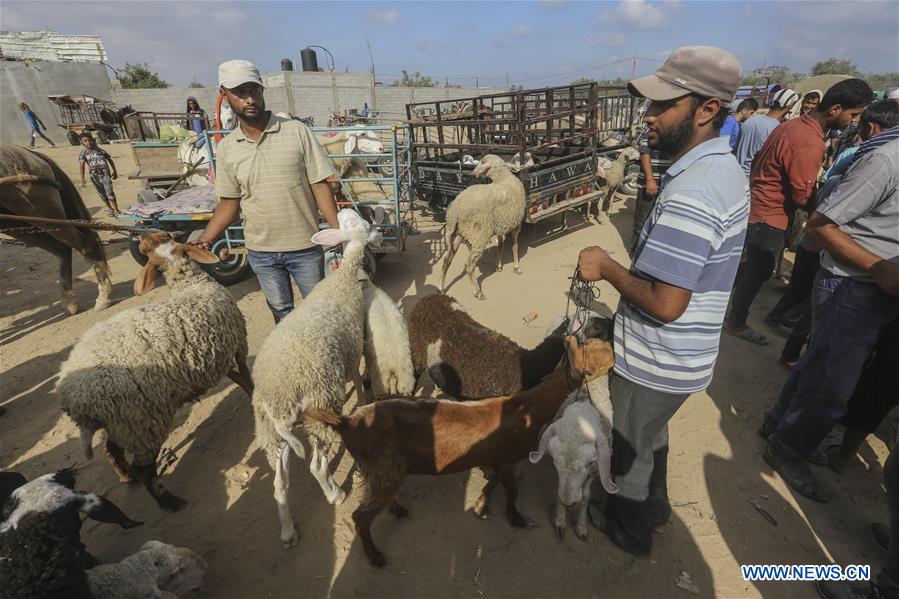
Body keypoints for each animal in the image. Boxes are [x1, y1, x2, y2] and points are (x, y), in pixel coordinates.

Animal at [56, 234, 253, 510]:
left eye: (162, 238)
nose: (139, 236)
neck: (192, 285)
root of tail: (74, 397)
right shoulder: (237, 346)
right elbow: (246, 380)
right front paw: (256, 397)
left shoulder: (220, 356)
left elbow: (238, 378)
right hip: (144, 422)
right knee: (144, 468)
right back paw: (169, 500)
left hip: (124, 421)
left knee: (112, 449)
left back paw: (126, 476)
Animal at [250, 209, 384, 552]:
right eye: (366, 226)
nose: (342, 210)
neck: (342, 277)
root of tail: (278, 399)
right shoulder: (354, 347)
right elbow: (358, 379)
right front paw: (363, 399)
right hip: (320, 406)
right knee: (316, 466)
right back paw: (335, 493)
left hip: (270, 433)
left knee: (279, 485)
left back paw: (287, 533)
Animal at [306, 338, 616, 568]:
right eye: (594, 361)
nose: (613, 351)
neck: (534, 404)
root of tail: (347, 422)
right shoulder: (509, 459)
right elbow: (512, 490)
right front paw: (517, 519)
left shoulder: (493, 458)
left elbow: (493, 482)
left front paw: (480, 506)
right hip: (384, 469)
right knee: (361, 516)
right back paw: (376, 556)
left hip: (381, 471)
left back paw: (398, 510)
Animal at [442, 154, 528, 300]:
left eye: (483, 162)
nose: (473, 172)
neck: (503, 177)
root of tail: (455, 211)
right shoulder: (517, 224)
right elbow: (515, 246)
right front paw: (517, 267)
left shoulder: (501, 226)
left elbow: (500, 247)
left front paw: (498, 266)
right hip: (479, 235)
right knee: (469, 265)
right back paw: (478, 292)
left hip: (456, 234)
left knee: (446, 260)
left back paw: (441, 288)